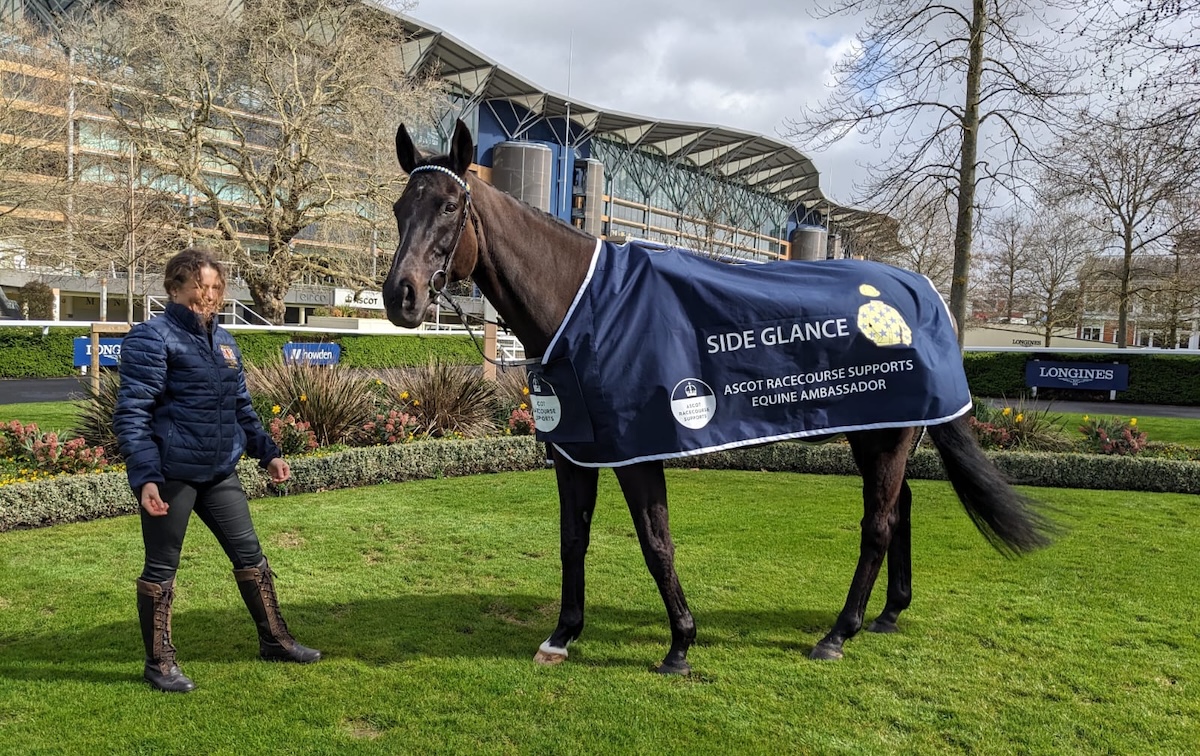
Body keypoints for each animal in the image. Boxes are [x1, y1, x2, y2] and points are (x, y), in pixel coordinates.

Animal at [384, 120, 1051, 676]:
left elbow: (656, 543)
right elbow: (573, 539)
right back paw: (887, 613)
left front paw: (680, 643)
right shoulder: (573, 453)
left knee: (878, 524)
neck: (582, 304)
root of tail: (924, 293)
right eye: (397, 208)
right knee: (902, 508)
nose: (401, 296)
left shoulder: (637, 455)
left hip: (883, 439)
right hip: (885, 431)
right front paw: (562, 635)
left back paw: (839, 632)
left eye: (449, 205)